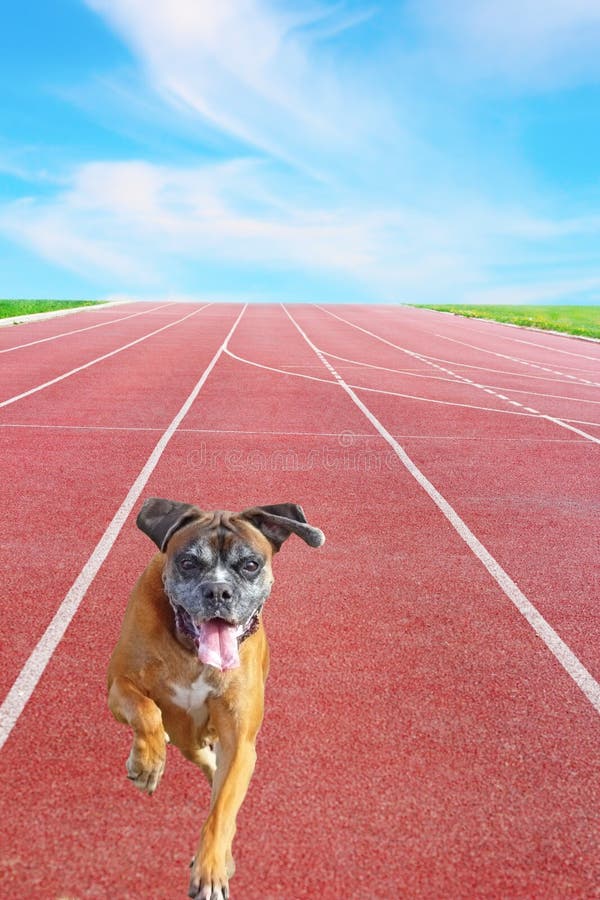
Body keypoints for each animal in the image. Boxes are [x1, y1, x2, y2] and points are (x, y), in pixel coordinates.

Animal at [105, 500, 326, 900]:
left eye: (250, 564)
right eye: (189, 562)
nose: (218, 591)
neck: (191, 651)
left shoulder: (240, 742)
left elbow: (221, 811)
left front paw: (211, 868)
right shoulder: (119, 683)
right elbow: (145, 710)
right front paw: (146, 763)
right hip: (185, 737)